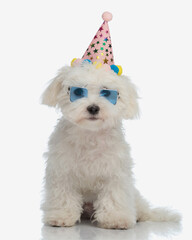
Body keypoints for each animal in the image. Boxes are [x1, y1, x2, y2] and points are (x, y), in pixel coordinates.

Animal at [41, 63, 182, 229]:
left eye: (107, 93)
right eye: (78, 91)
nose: (93, 108)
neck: (91, 134)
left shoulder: (115, 173)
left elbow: (114, 196)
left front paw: (116, 219)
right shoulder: (62, 171)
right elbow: (63, 195)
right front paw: (61, 216)